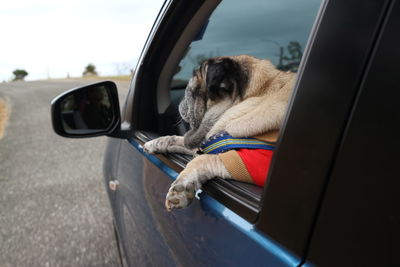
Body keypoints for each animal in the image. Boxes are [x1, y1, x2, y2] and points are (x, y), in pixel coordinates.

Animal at [143, 55, 294, 211]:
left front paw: (181, 188)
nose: (181, 101)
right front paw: (157, 142)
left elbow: (202, 159)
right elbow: (177, 140)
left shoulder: (255, 163)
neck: (255, 97)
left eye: (191, 90)